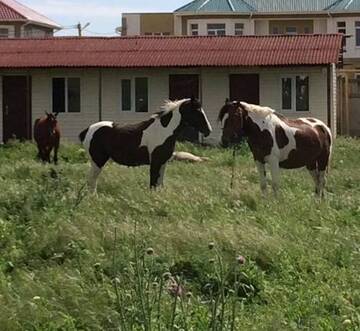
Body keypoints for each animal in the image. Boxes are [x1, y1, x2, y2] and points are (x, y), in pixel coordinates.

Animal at [79, 97, 211, 193]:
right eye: (197, 112)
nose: (208, 130)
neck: (163, 131)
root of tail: (87, 130)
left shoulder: (163, 163)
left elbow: (159, 184)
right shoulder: (155, 163)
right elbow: (152, 184)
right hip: (97, 161)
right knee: (92, 181)